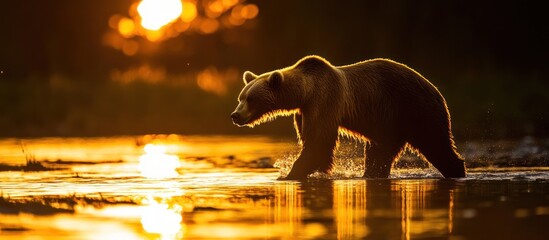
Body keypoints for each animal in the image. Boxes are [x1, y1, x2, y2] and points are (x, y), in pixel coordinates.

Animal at [229, 56, 464, 179]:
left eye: (250, 98)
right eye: (241, 97)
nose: (235, 115)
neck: (306, 92)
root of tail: (436, 89)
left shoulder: (325, 100)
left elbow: (319, 142)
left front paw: (290, 174)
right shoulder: (303, 112)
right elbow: (312, 141)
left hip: (415, 108)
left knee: (435, 142)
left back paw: (456, 169)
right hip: (387, 122)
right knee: (380, 152)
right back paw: (372, 174)